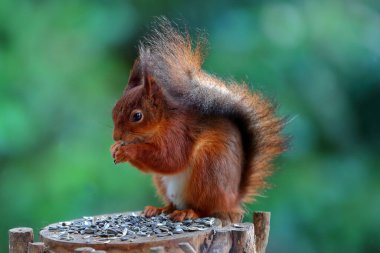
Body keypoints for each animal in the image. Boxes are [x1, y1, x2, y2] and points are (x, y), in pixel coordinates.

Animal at [110, 19, 284, 221]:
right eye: (114, 110)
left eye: (137, 116)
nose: (116, 137)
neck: (162, 122)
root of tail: (232, 200)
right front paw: (115, 148)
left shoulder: (178, 132)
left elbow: (170, 158)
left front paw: (127, 150)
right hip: (164, 182)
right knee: (172, 203)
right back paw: (160, 209)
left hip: (209, 169)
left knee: (205, 209)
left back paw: (188, 212)